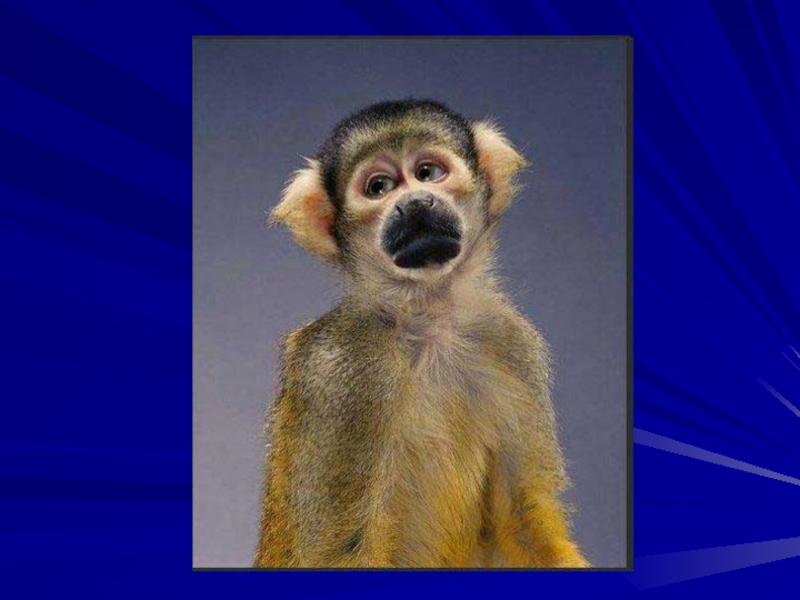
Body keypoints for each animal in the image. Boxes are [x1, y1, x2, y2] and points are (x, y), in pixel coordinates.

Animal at [255, 99, 590, 569]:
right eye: (378, 187)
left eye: (428, 172)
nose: (413, 204)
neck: (425, 319)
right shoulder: (340, 370)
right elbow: (339, 550)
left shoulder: (511, 342)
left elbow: (523, 519)